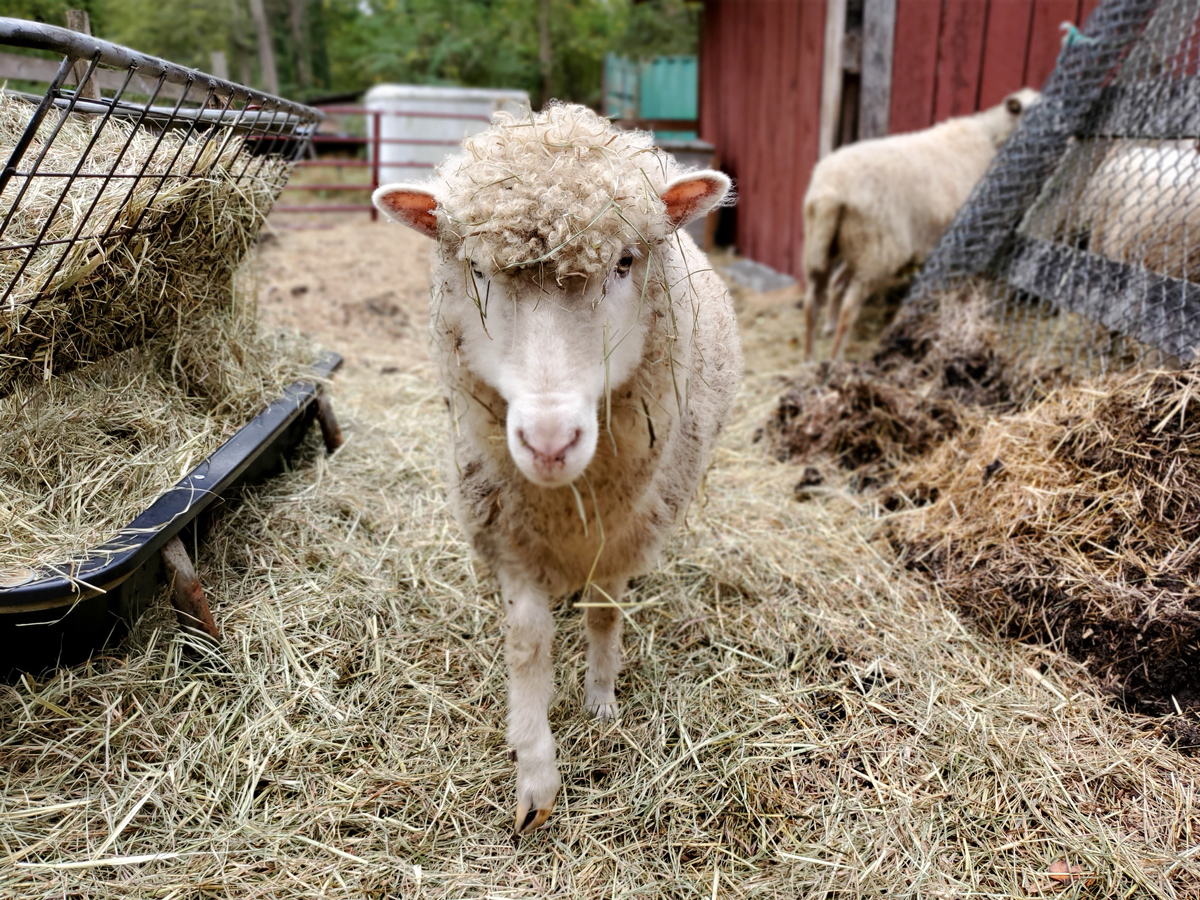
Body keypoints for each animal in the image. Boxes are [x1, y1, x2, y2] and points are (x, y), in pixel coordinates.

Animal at [369, 105, 739, 840]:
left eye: (625, 262)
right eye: (476, 270)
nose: (547, 441)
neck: (565, 501)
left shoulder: (620, 534)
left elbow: (603, 615)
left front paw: (601, 699)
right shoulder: (507, 527)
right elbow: (527, 641)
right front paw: (535, 775)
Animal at [806, 87, 1041, 362]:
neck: (993, 138)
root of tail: (830, 191)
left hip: (830, 245)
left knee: (815, 298)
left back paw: (811, 353)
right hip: (878, 250)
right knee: (848, 308)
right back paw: (834, 358)